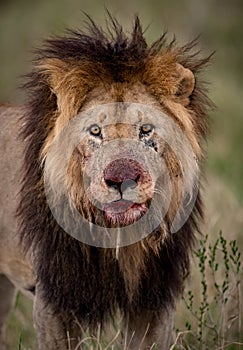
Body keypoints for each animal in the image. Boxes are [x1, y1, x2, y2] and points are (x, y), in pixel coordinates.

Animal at [0, 15, 212, 350]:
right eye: (95, 131)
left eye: (146, 129)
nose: (121, 178)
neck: (119, 238)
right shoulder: (55, 299)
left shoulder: (153, 301)